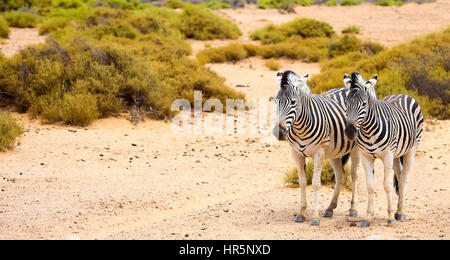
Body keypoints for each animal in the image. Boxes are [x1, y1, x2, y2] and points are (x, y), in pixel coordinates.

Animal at [272, 70, 360, 225]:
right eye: (276, 102)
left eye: (293, 102)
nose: (280, 132)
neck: (300, 127)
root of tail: (346, 88)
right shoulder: (296, 153)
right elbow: (302, 182)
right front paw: (301, 213)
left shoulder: (318, 153)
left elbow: (315, 183)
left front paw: (314, 217)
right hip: (334, 151)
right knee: (340, 174)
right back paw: (330, 208)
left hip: (354, 148)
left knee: (354, 174)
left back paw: (353, 209)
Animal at [342, 71, 424, 228]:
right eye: (346, 103)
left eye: (364, 104)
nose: (349, 131)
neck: (368, 130)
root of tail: (402, 94)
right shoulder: (366, 156)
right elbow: (370, 186)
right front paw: (368, 217)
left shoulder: (387, 155)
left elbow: (387, 185)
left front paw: (390, 218)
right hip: (397, 154)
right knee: (399, 175)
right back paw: (398, 211)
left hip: (410, 149)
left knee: (404, 178)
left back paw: (401, 213)